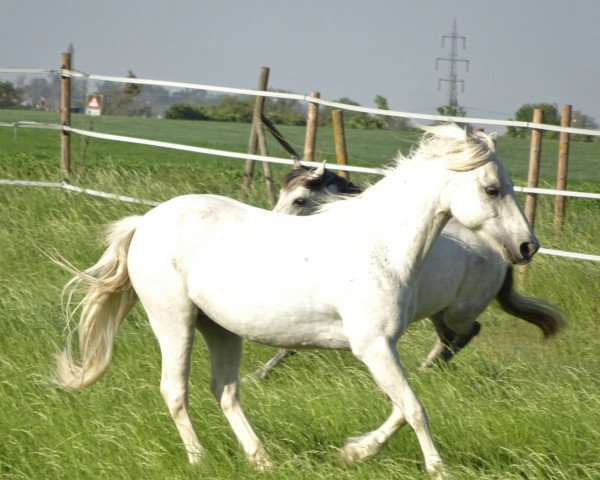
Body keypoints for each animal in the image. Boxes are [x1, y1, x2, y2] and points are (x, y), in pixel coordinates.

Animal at [247, 161, 564, 378]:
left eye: (299, 200)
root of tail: (502, 251)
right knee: (448, 338)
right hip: (439, 310)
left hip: (459, 310)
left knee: (467, 332)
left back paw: (425, 369)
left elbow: (290, 344)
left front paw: (257, 375)